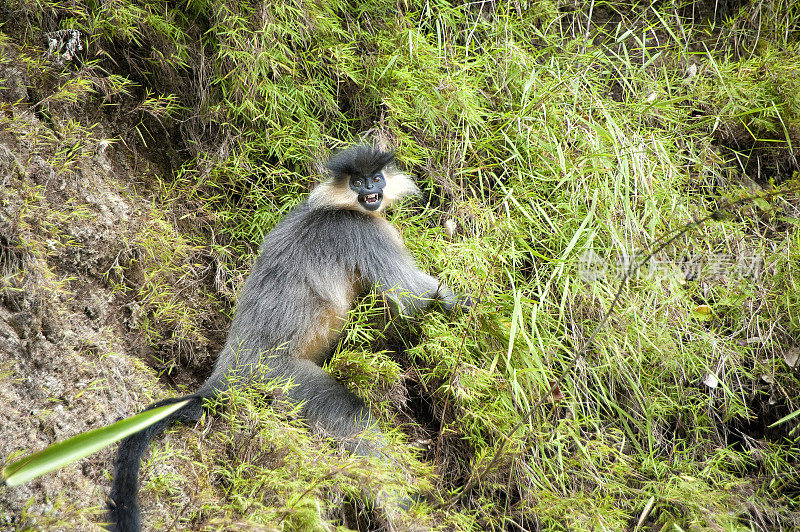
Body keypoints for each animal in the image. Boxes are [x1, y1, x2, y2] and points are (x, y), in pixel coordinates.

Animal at [105, 143, 468, 528]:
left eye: (375, 177)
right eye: (357, 181)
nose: (370, 188)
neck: (338, 206)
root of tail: (230, 368)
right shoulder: (364, 232)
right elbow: (411, 297)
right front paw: (461, 301)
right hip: (283, 378)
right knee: (352, 417)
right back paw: (404, 505)